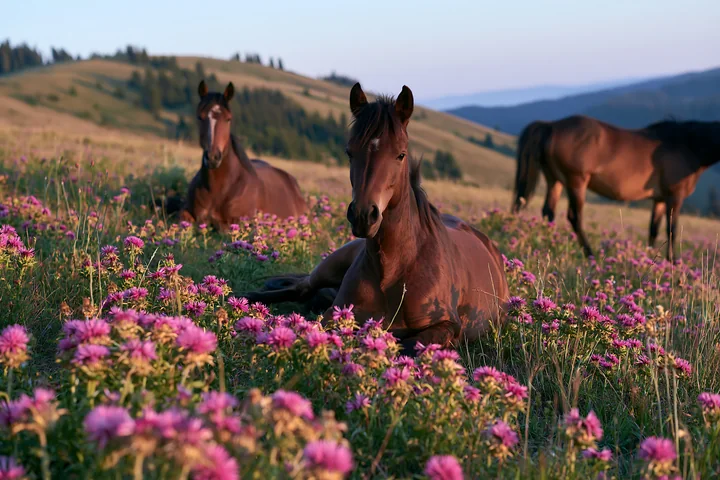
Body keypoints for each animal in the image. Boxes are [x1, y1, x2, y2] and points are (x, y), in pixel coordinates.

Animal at [178, 81, 308, 230]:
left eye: (228, 119)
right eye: (200, 117)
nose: (212, 158)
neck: (218, 188)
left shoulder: (234, 223)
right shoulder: (186, 213)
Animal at [245, 83, 509, 356]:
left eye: (401, 155)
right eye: (349, 152)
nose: (363, 215)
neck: (394, 270)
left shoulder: (448, 326)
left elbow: (409, 344)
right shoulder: (334, 314)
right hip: (331, 265)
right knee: (300, 288)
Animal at [511, 115, 720, 261]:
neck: (687, 145)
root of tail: (551, 126)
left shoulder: (659, 200)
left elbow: (653, 230)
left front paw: (650, 259)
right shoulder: (674, 197)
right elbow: (672, 230)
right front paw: (673, 262)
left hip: (555, 180)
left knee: (548, 212)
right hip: (576, 182)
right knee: (574, 217)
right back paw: (590, 255)